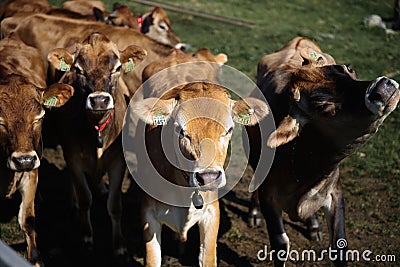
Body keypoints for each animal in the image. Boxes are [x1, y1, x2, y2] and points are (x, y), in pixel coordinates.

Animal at [44, 32, 147, 264]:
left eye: (117, 67)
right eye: (78, 69)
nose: (99, 100)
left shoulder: (118, 161)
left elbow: (115, 206)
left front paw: (119, 247)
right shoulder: (72, 155)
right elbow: (85, 198)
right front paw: (86, 237)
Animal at [245, 36, 398, 266]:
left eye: (348, 68)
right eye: (321, 104)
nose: (383, 87)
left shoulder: (334, 191)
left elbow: (339, 246)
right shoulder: (269, 197)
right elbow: (281, 245)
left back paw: (313, 226)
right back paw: (254, 213)